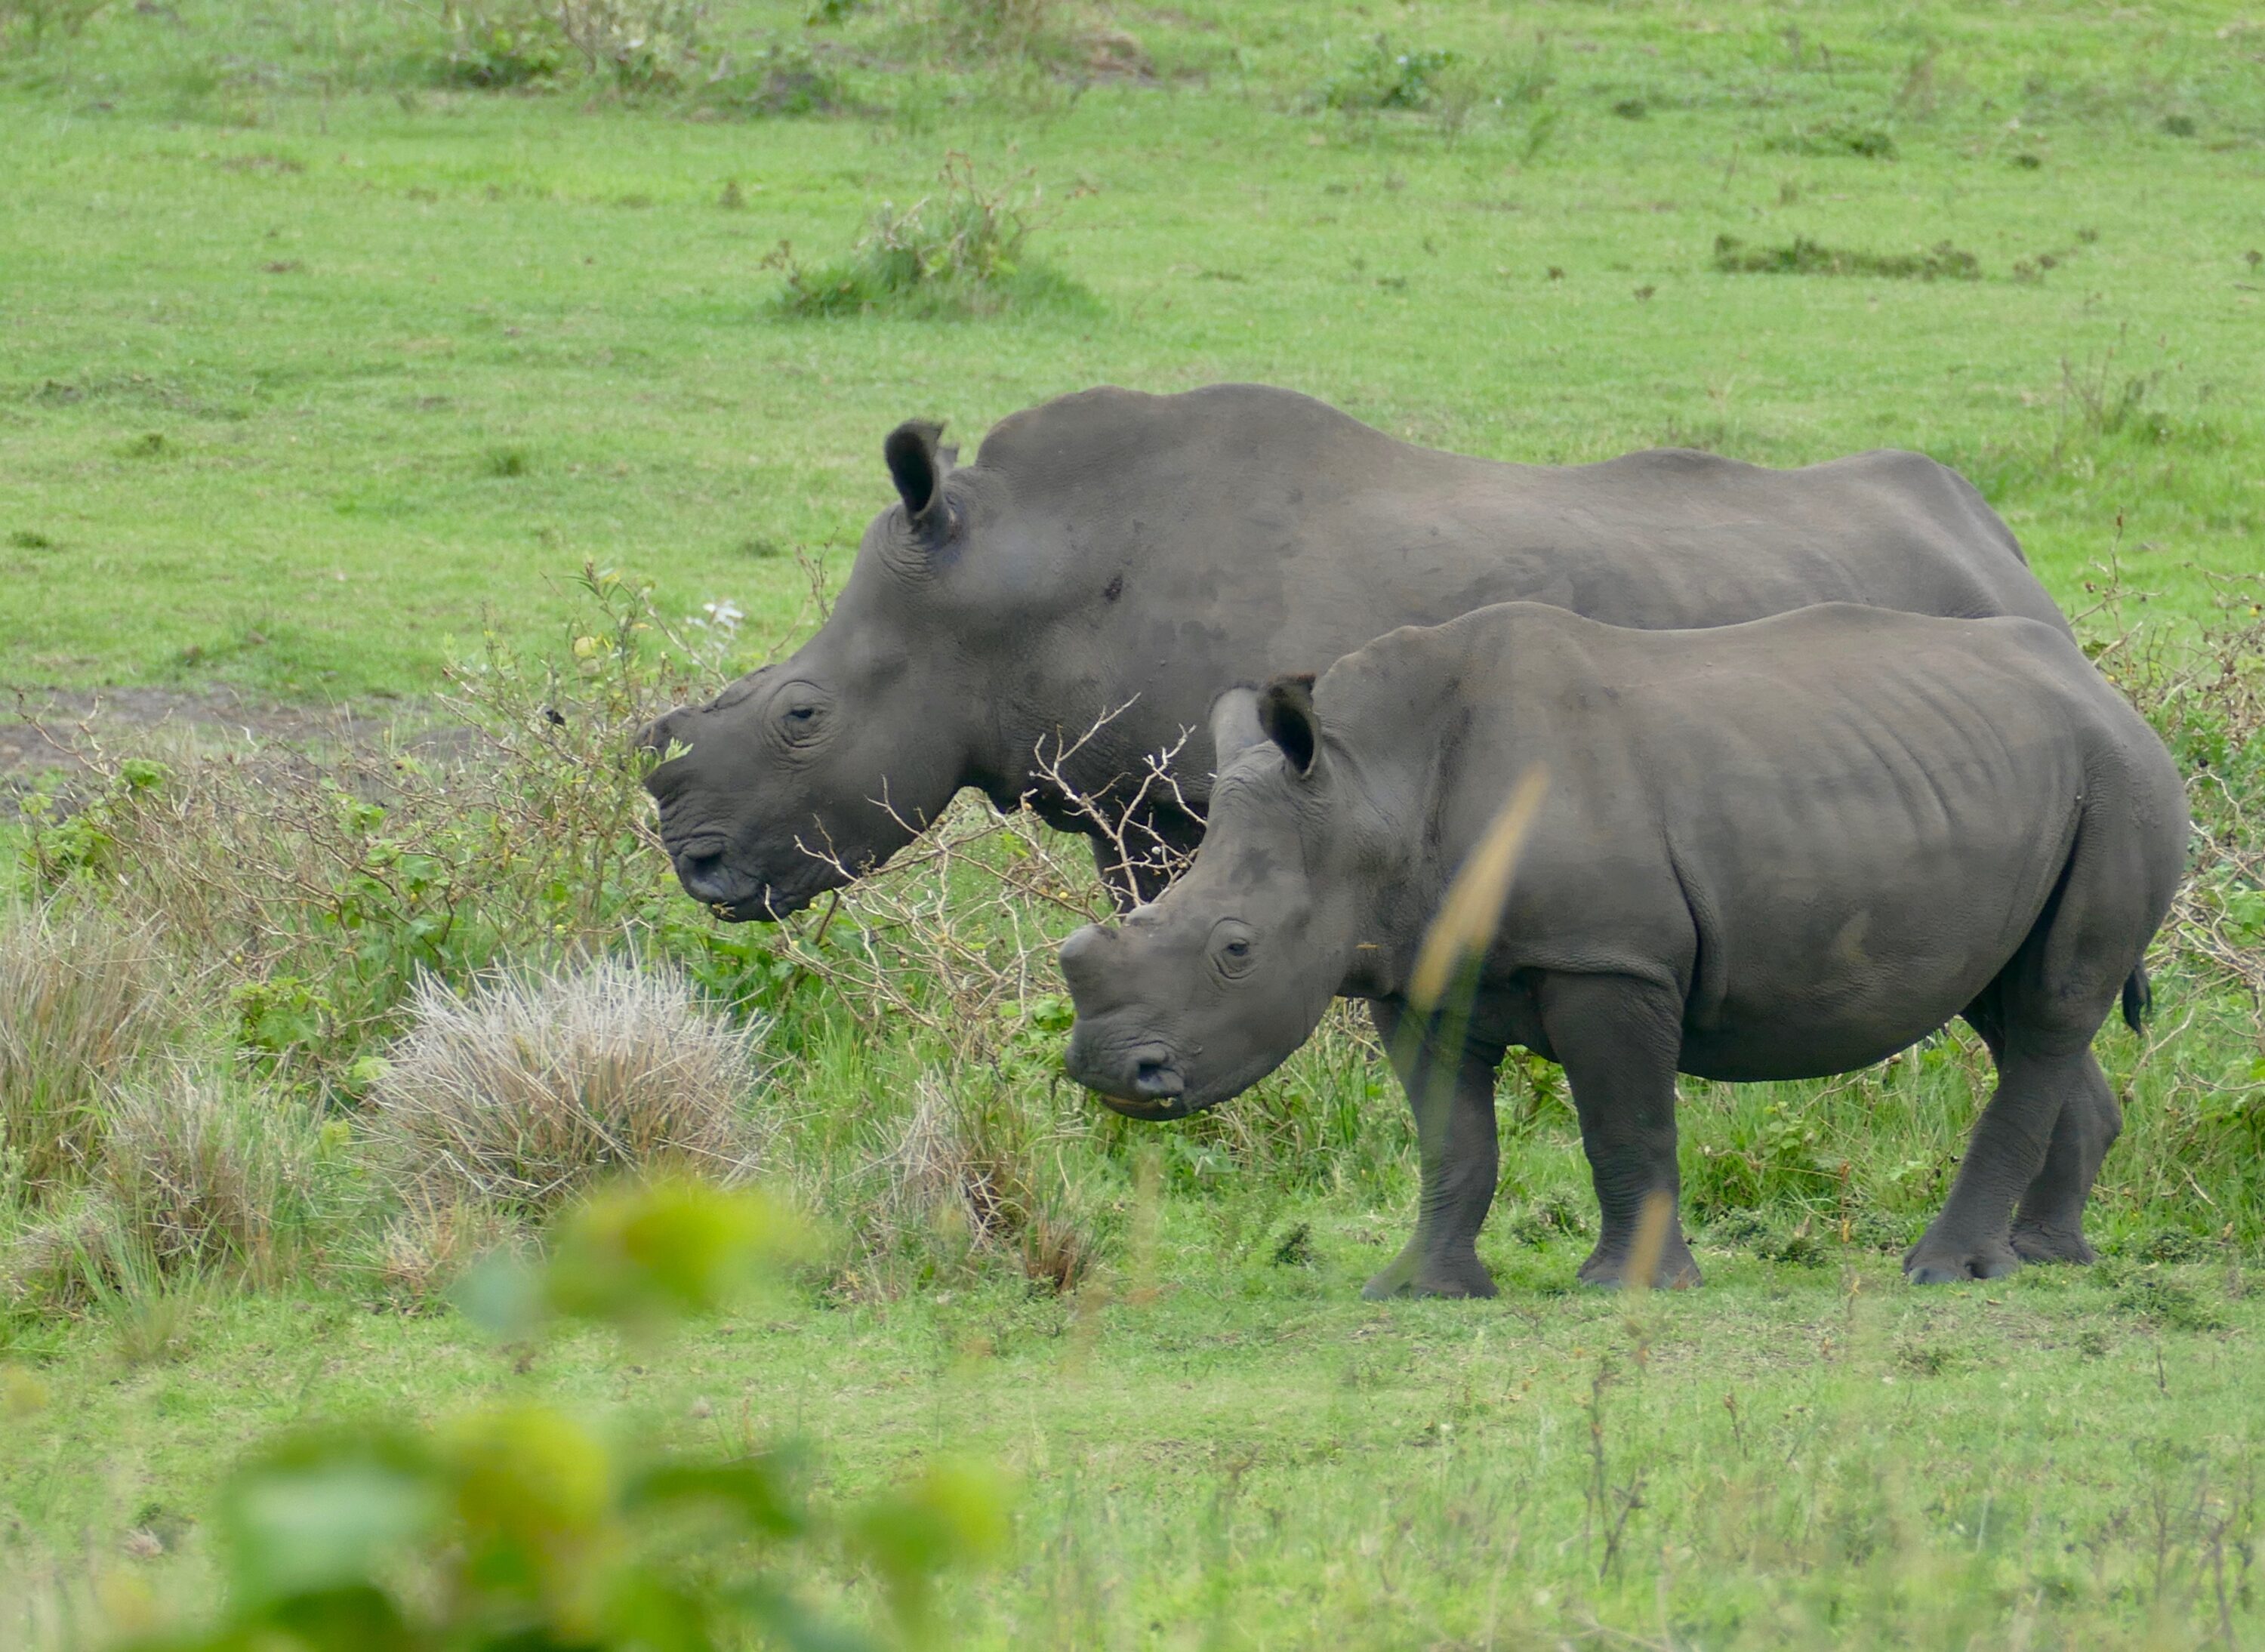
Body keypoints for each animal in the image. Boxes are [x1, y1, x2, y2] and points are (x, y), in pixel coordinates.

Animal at [640, 384, 2072, 919]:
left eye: (803, 718)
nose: (692, 864)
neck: (1013, 573)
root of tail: (2006, 551)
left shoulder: (1197, 795)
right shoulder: (1130, 805)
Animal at [1057, 601, 2188, 1295]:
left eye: (1236, 950)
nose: (1113, 1072)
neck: (1373, 789)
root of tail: (2108, 690)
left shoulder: (1608, 956)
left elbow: (1625, 1121)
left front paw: (1629, 1288)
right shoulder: (1418, 972)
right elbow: (1453, 1139)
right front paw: (1420, 1288)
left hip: (2121, 780)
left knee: (2047, 1011)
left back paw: (1946, 1271)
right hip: (2023, 784)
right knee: (2014, 1006)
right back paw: (2049, 1259)